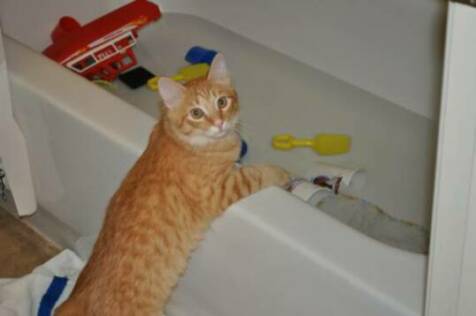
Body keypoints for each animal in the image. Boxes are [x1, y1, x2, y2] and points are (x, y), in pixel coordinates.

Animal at [54, 54, 288, 316]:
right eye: (196, 113)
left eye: (222, 102)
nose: (219, 123)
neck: (181, 139)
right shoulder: (219, 189)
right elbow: (256, 173)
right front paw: (281, 173)